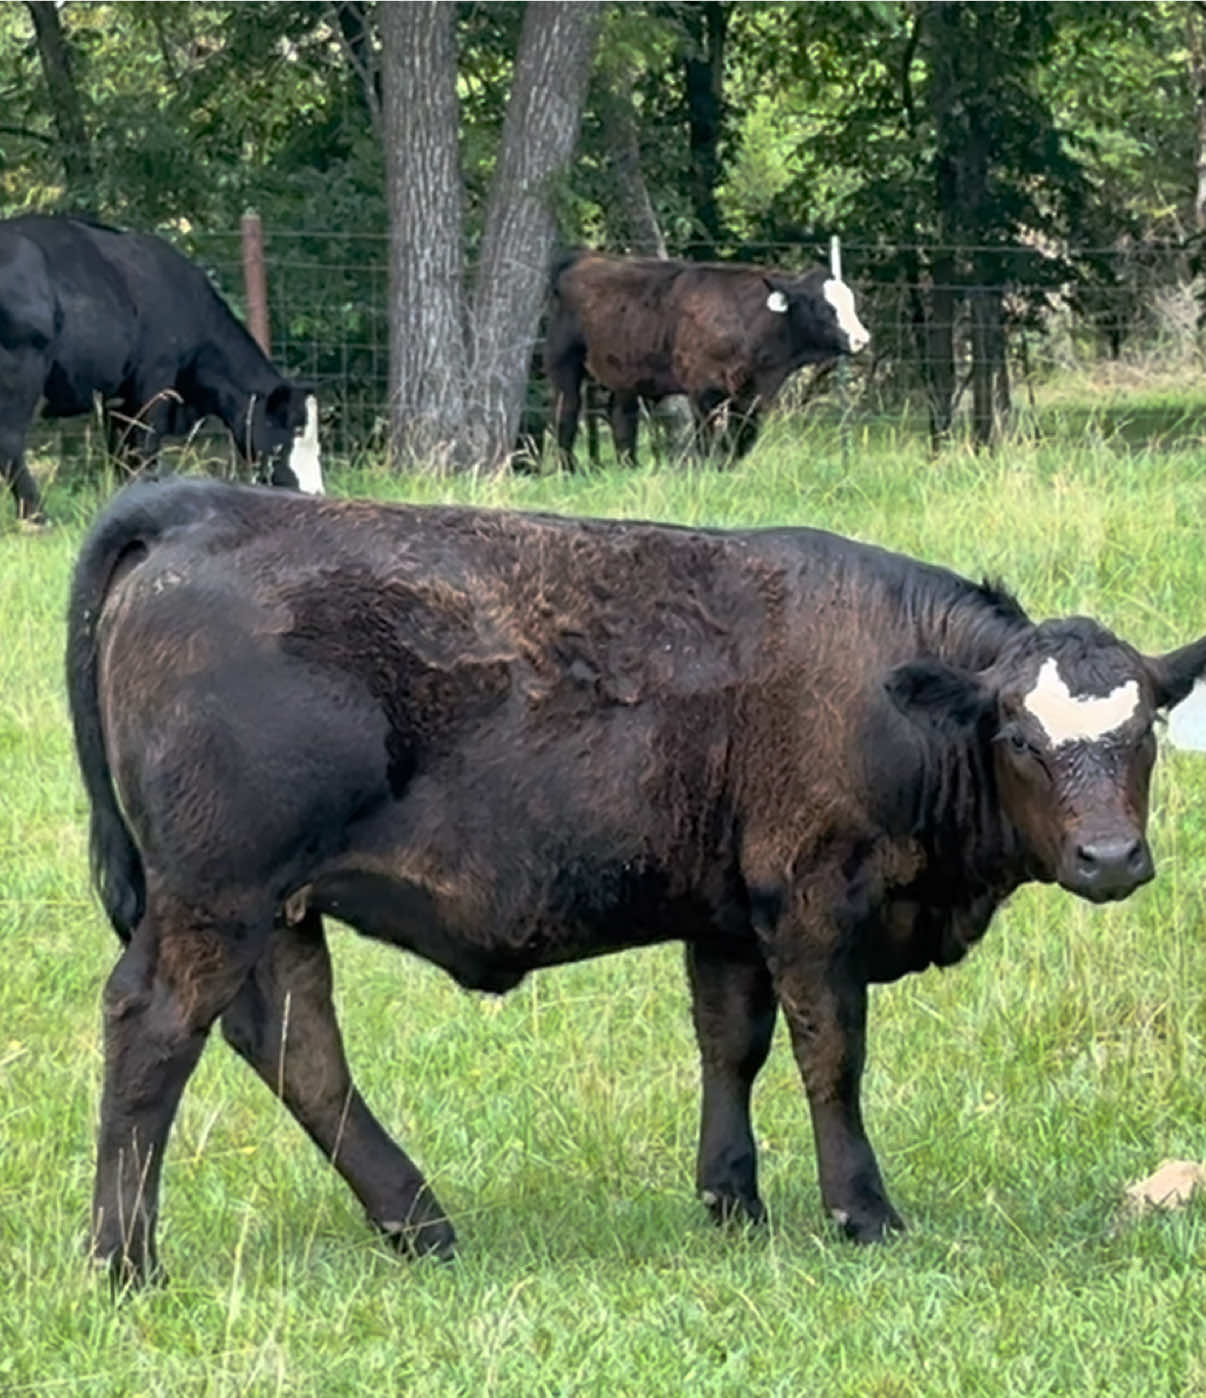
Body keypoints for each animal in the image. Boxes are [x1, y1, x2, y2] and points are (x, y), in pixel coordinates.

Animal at [0, 214, 324, 522]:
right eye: (294, 429)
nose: (315, 493)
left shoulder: (117, 400)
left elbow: (122, 456)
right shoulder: (154, 383)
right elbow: (145, 452)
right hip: (22, 372)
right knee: (10, 444)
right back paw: (37, 517)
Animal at [67, 477, 1206, 1287]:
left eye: (1146, 727)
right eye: (1017, 736)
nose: (1111, 859)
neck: (884, 690)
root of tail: (198, 507)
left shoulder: (728, 918)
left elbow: (730, 1045)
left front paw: (731, 1202)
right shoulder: (811, 903)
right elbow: (830, 1059)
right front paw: (862, 1211)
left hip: (274, 911)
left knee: (296, 1048)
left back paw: (420, 1225)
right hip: (216, 898)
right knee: (154, 1029)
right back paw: (125, 1261)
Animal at [543, 249, 870, 468]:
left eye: (850, 304)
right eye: (823, 307)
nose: (861, 338)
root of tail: (581, 260)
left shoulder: (750, 395)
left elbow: (741, 438)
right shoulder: (703, 391)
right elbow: (707, 440)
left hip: (624, 373)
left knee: (622, 418)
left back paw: (630, 467)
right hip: (564, 362)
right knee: (566, 414)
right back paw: (568, 469)